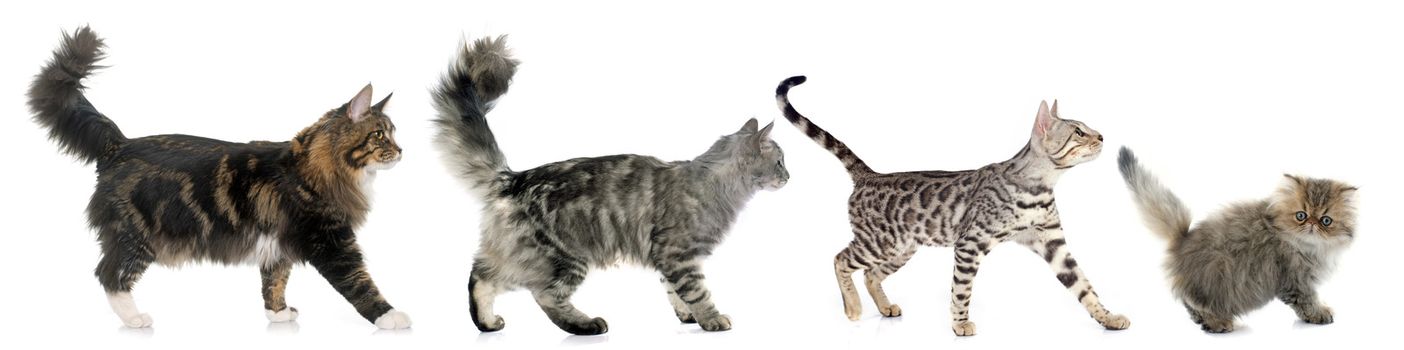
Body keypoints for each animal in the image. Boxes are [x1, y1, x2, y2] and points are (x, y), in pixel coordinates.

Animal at [429, 36, 791, 334]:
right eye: (780, 162)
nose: (789, 177)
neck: (712, 180)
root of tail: (513, 178)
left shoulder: (667, 257)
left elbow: (674, 291)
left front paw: (687, 316)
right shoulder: (679, 254)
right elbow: (697, 291)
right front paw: (712, 319)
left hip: (520, 254)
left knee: (481, 276)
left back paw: (487, 322)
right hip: (565, 256)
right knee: (543, 294)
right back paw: (586, 325)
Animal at [775, 75, 1134, 334]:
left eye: (1088, 129)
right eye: (1078, 132)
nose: (1101, 137)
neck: (1040, 184)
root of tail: (869, 175)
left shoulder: (1053, 243)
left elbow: (1085, 286)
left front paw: (1107, 316)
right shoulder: (969, 244)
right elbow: (961, 289)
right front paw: (960, 323)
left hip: (902, 248)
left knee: (871, 274)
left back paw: (885, 307)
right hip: (881, 242)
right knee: (841, 259)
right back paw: (852, 308)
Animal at [1111, 147, 1353, 333]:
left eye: (1326, 221)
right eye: (1301, 216)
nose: (1312, 223)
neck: (1307, 247)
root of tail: (1183, 240)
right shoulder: (1295, 281)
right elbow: (1308, 302)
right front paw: (1319, 314)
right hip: (1214, 279)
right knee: (1195, 302)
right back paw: (1217, 323)